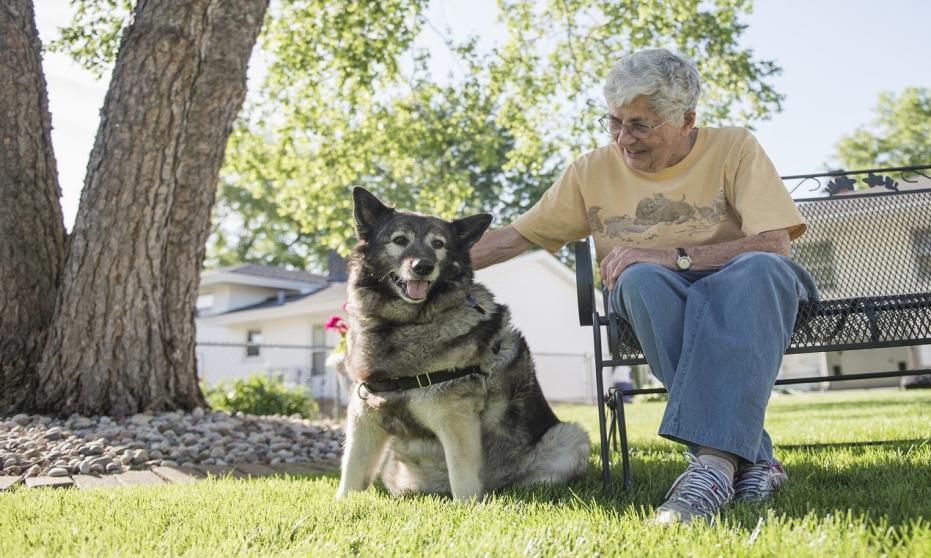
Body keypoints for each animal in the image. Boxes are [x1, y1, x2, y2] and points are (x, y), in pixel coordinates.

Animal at [336, 188, 588, 504]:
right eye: (400, 240)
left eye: (439, 244)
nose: (424, 266)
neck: (403, 326)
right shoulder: (364, 416)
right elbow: (351, 474)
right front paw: (340, 506)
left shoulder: (455, 418)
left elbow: (463, 480)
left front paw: (469, 509)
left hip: (570, 435)